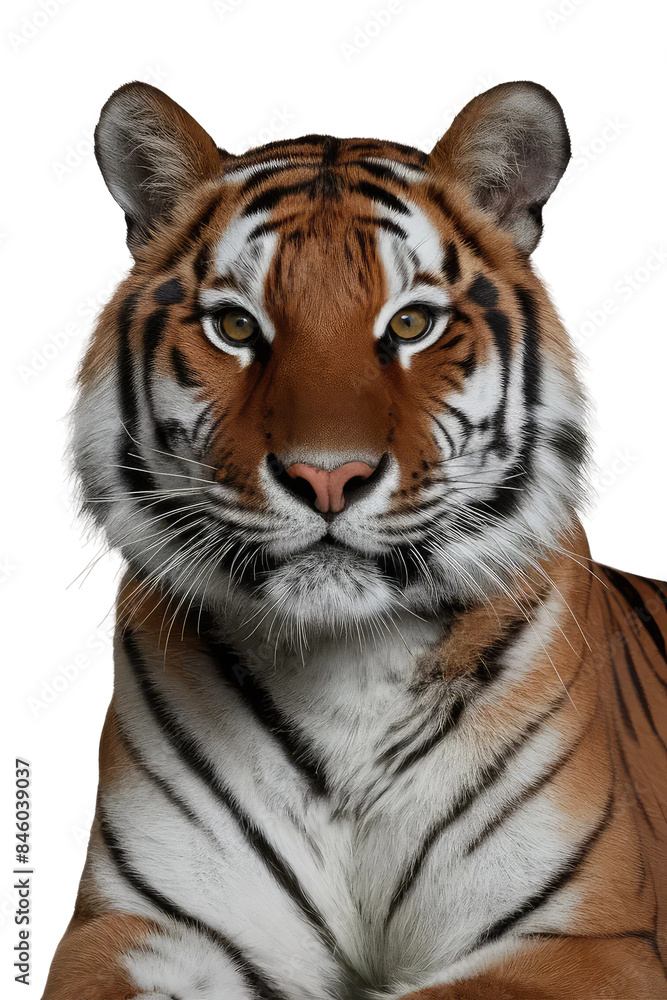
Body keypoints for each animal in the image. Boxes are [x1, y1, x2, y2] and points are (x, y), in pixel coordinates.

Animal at [42, 80, 667, 1000]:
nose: (327, 476)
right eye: (236, 327)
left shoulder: (591, 939)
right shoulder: (130, 922)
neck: (343, 671)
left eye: (409, 325)